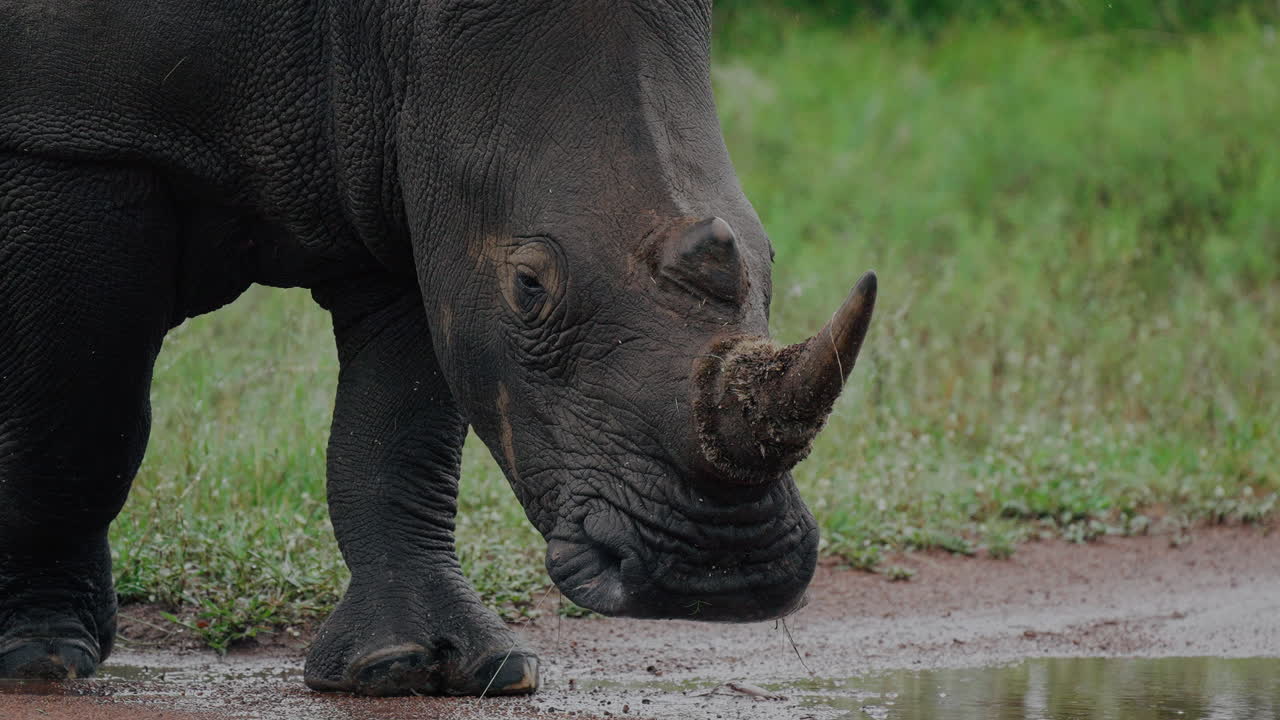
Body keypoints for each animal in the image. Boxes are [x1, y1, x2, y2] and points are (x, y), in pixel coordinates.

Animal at [0, 0, 877, 696]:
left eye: (771, 255)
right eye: (529, 284)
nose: (724, 577)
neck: (391, 26)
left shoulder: (412, 175)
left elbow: (397, 435)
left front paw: (422, 668)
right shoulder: (74, 140)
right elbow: (75, 417)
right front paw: (43, 657)